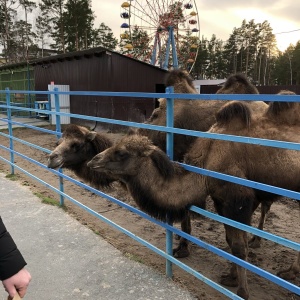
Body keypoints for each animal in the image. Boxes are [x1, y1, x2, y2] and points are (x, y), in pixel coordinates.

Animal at [86, 99, 300, 298]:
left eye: (121, 152)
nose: (93, 161)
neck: (207, 163)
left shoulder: (237, 199)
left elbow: (239, 247)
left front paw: (242, 292)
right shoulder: (220, 200)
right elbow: (231, 241)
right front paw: (231, 278)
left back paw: (288, 272)